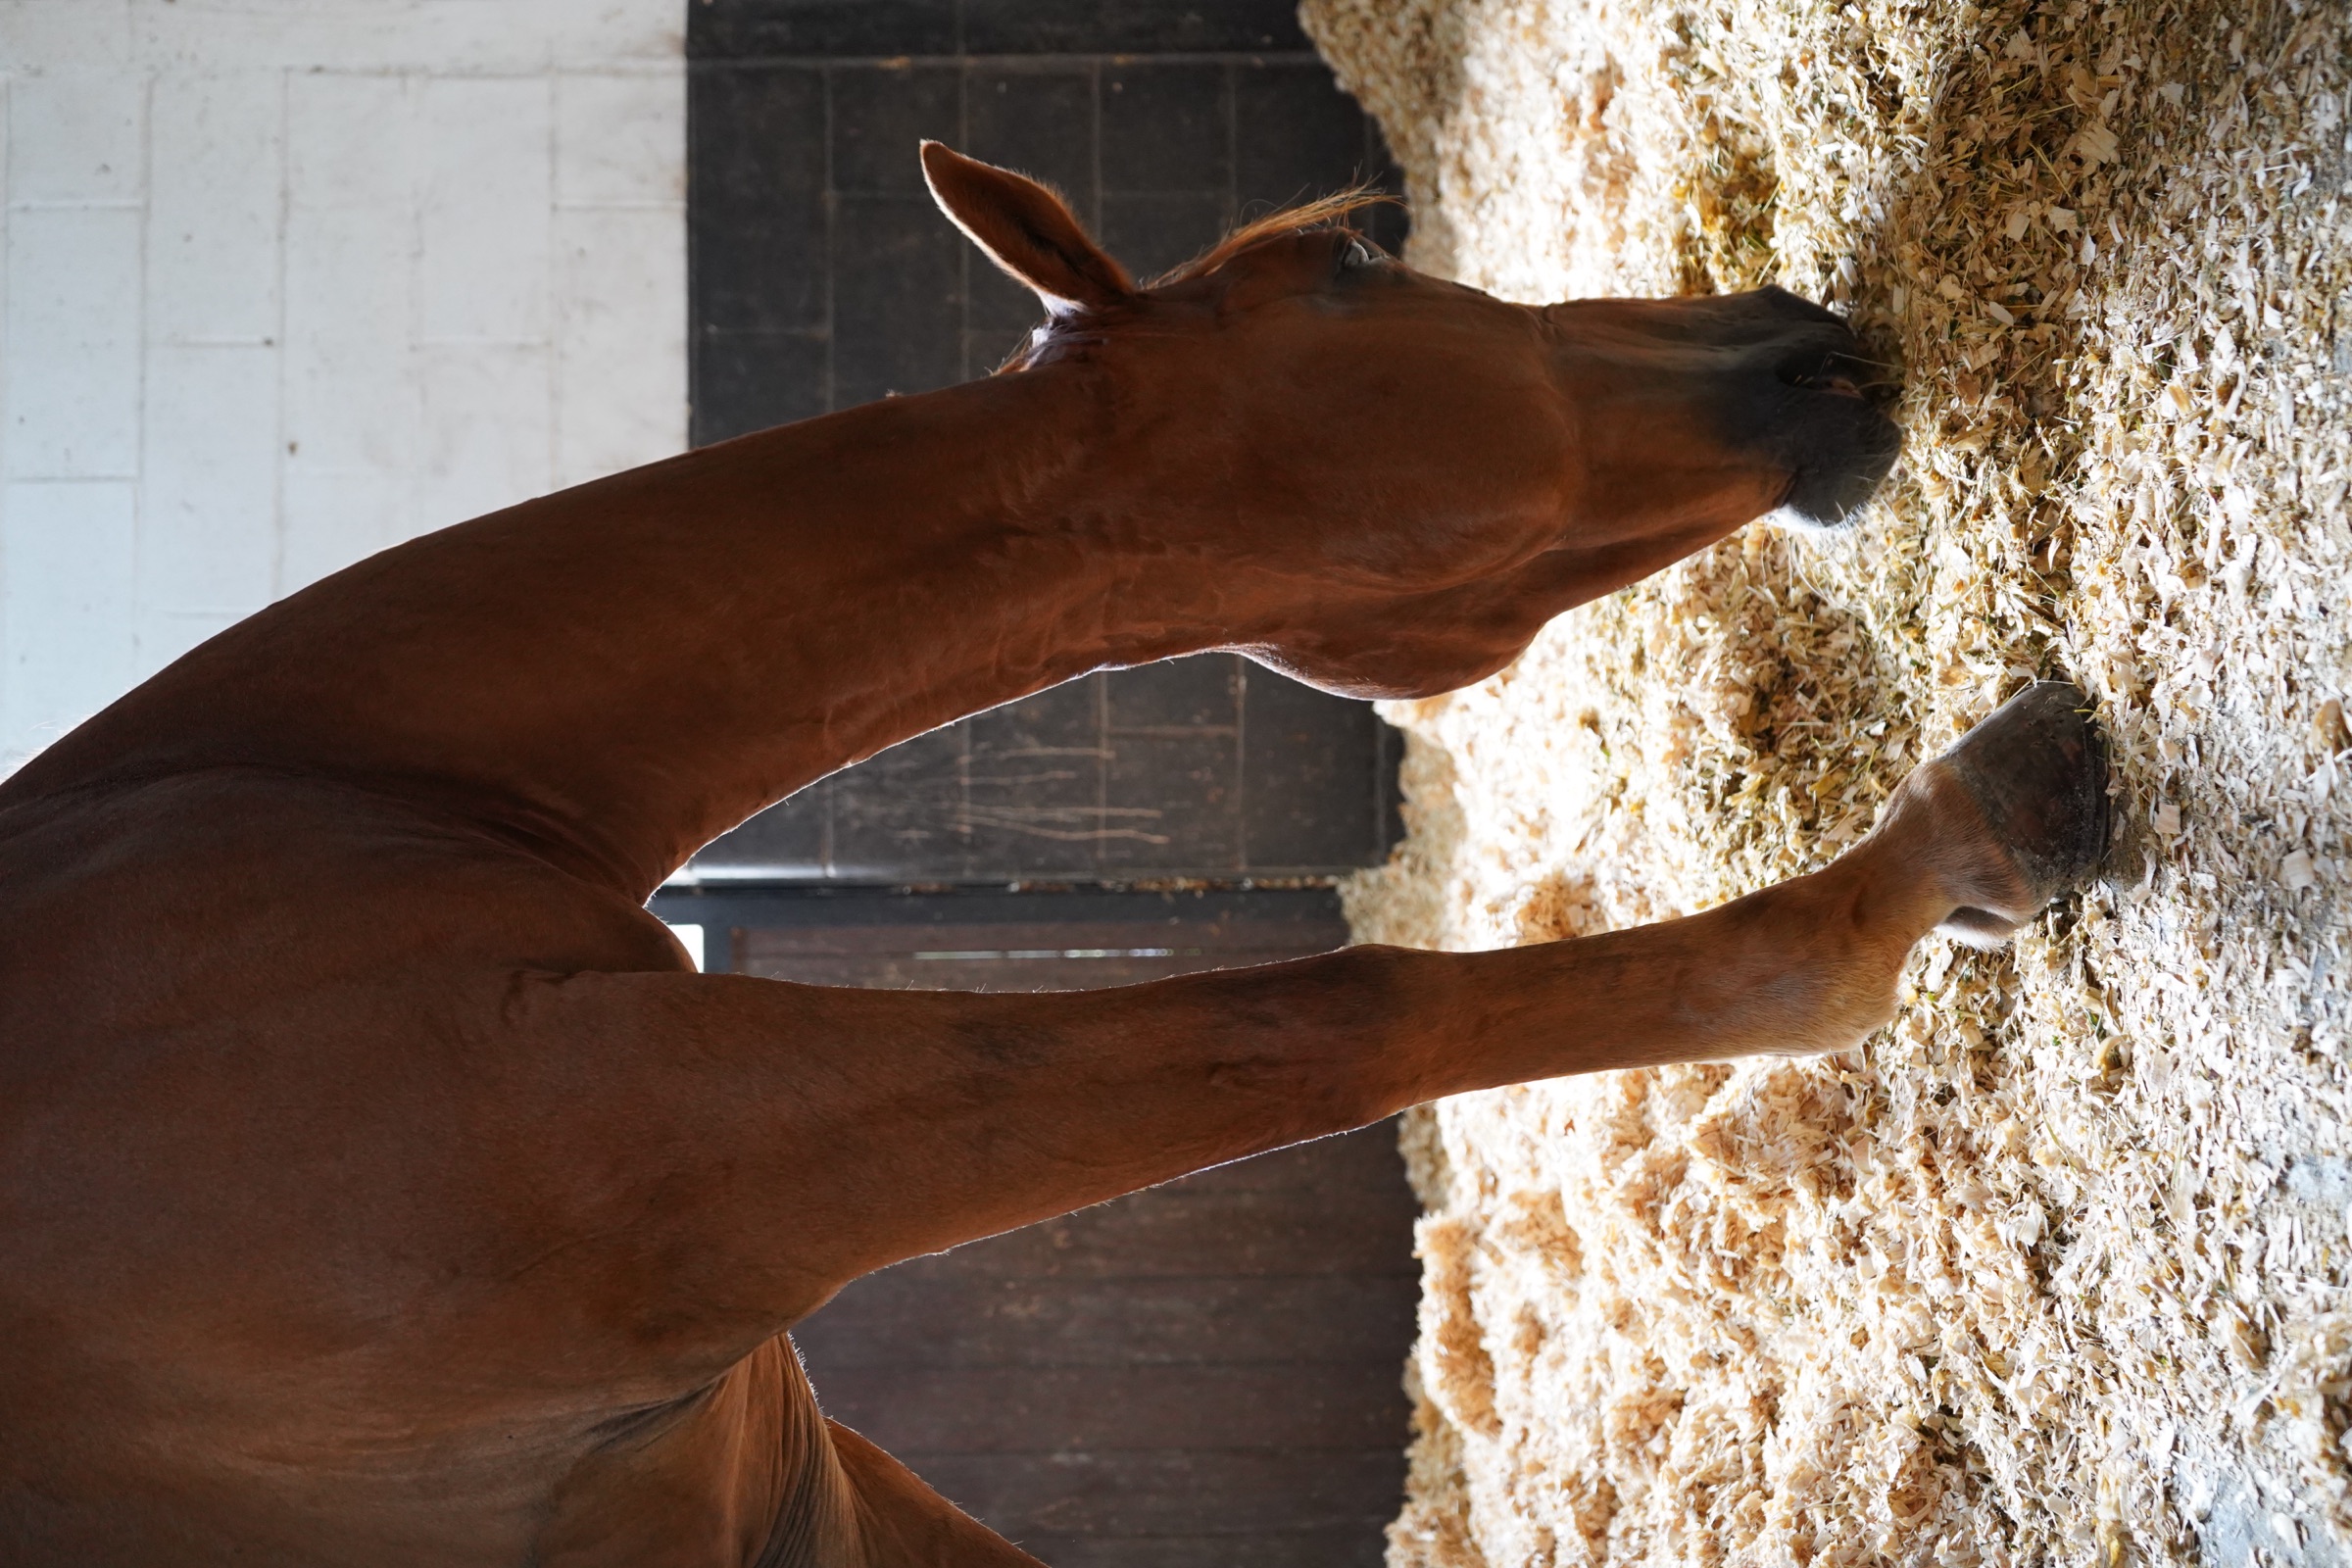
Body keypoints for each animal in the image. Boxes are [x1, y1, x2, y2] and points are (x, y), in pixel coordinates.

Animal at [0, 142, 2103, 1566]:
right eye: (1360, 248)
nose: (1800, 337)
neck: (299, 820)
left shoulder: (790, 1479)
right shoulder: (674, 1158)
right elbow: (1336, 1014)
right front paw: (1948, 855)